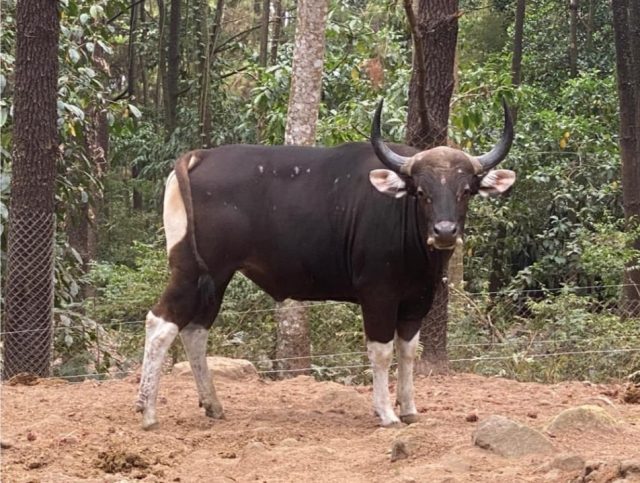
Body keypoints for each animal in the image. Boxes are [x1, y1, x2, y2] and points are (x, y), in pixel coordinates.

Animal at [135, 100, 516, 430]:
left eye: (465, 190)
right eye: (421, 192)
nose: (445, 231)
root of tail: (199, 156)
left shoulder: (418, 298)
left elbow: (408, 352)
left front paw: (408, 409)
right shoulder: (377, 294)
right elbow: (381, 352)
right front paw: (386, 412)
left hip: (216, 277)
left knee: (195, 330)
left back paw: (212, 404)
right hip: (192, 269)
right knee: (161, 323)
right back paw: (147, 411)